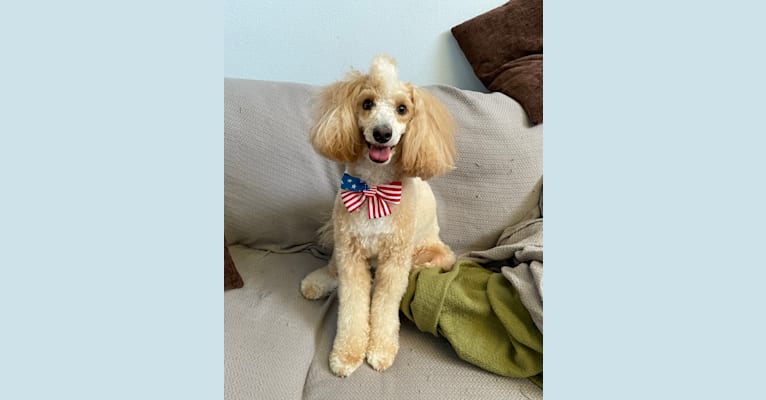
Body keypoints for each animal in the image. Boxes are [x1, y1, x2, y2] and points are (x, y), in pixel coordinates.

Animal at [300, 54, 456, 376]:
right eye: (367, 103)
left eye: (402, 109)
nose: (382, 133)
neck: (374, 189)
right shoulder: (349, 252)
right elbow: (352, 304)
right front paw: (347, 354)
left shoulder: (393, 261)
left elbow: (383, 307)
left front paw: (380, 350)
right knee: (333, 270)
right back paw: (317, 283)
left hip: (430, 252)